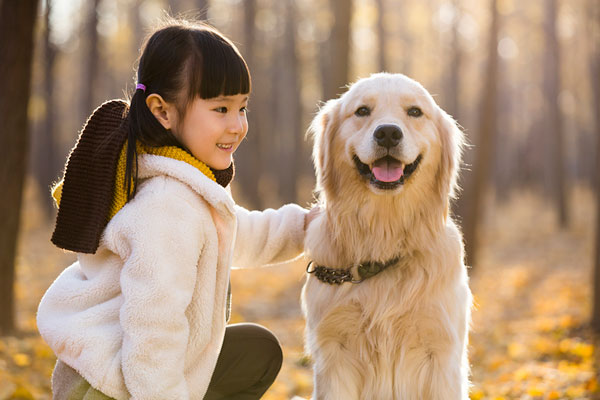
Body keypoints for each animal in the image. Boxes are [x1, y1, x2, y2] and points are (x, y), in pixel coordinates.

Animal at [302, 73, 472, 398]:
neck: (384, 234)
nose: (389, 133)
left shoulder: (440, 351)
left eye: (415, 112)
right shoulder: (335, 354)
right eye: (362, 111)